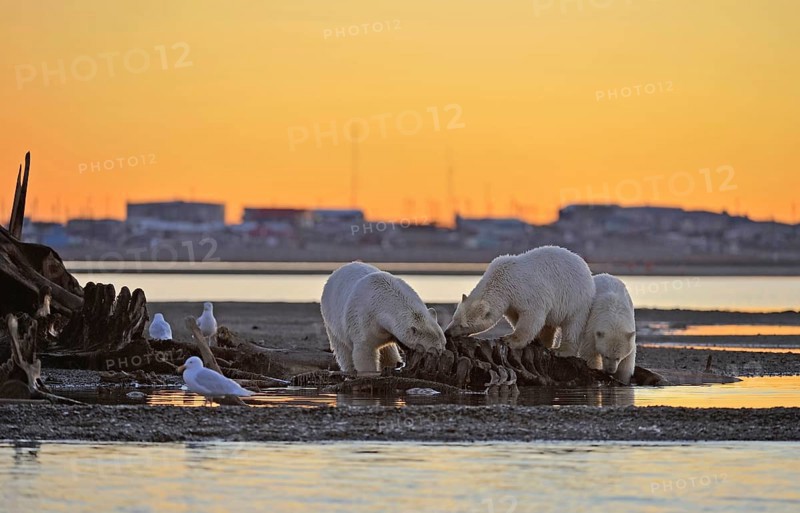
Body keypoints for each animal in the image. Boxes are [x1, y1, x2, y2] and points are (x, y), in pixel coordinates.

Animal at [444, 245, 595, 351]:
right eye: (454, 318)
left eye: (463, 325)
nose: (447, 333)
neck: (502, 279)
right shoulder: (511, 302)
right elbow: (515, 316)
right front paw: (533, 338)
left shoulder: (527, 291)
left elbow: (531, 316)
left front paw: (509, 340)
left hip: (577, 300)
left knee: (573, 326)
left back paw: (562, 350)